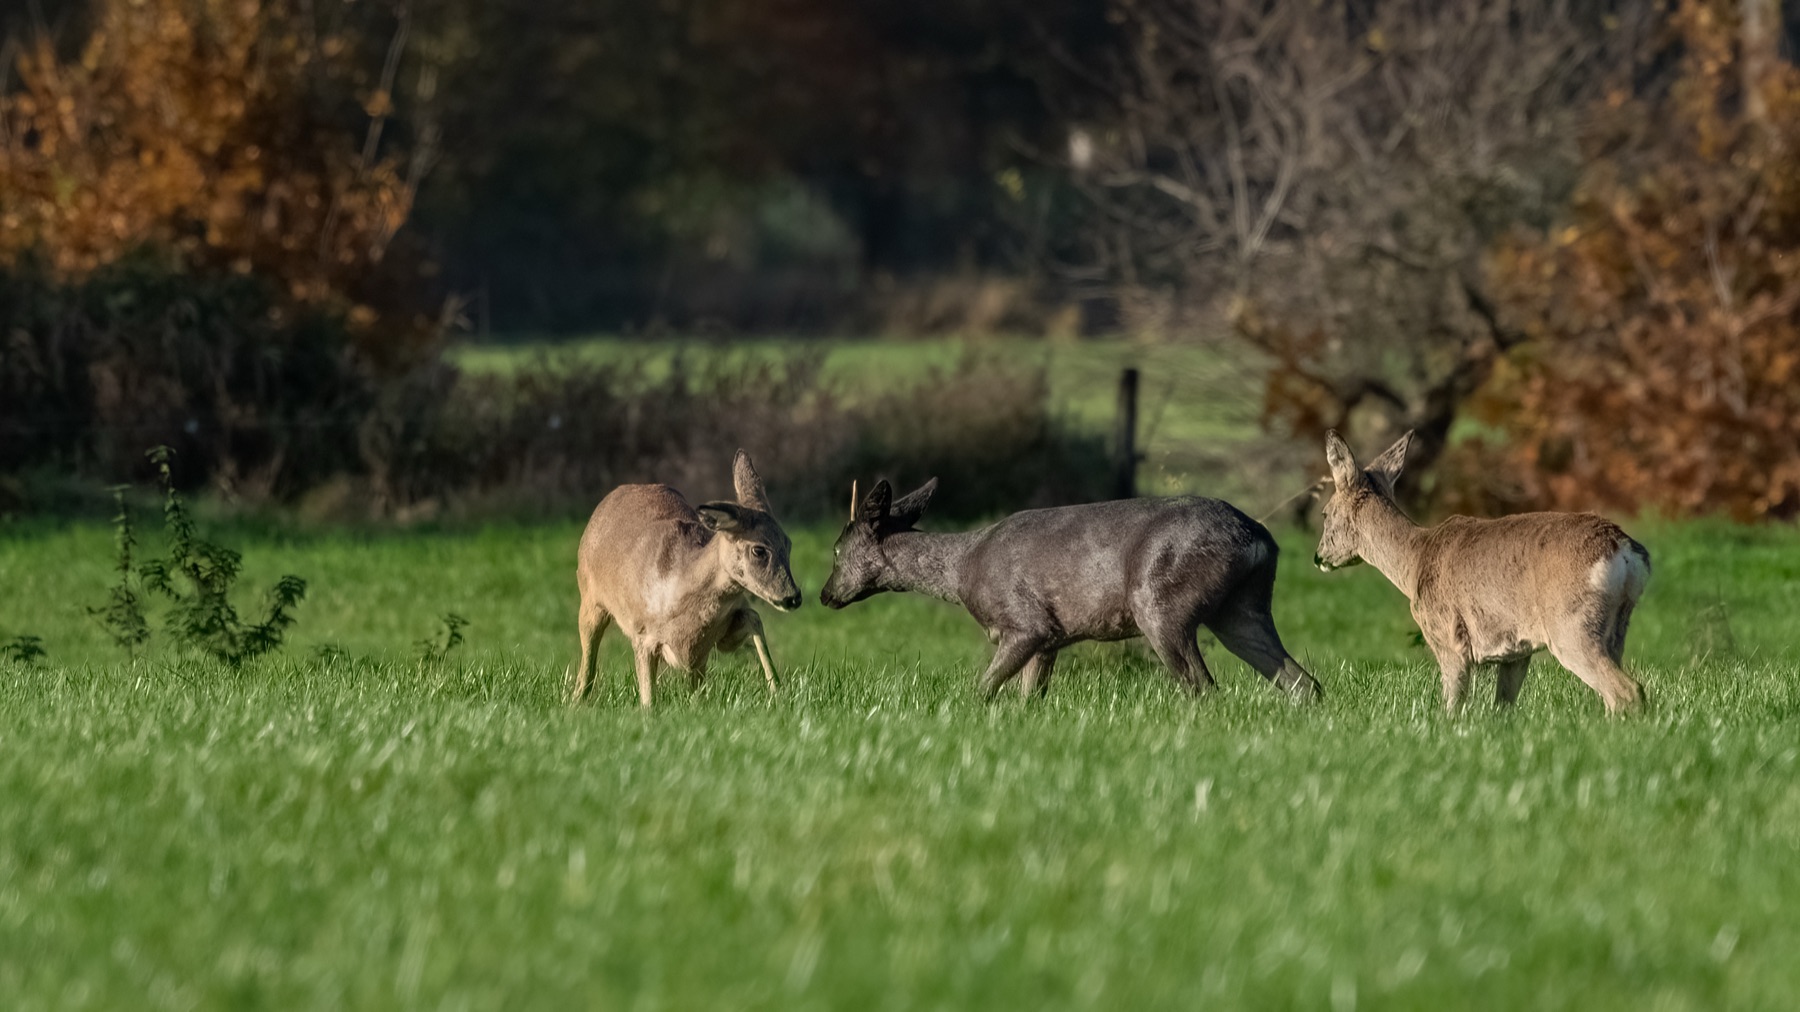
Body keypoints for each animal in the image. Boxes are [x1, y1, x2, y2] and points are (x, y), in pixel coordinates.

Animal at [572, 450, 802, 707]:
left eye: (788, 544)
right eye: (759, 550)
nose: (793, 597)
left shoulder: (717, 638)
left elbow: (755, 621)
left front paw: (778, 690)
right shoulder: (643, 634)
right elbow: (648, 700)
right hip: (590, 598)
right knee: (587, 665)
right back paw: (575, 702)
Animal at [819, 478, 1322, 701]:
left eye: (837, 550)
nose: (824, 595)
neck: (962, 569)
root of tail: (1259, 538)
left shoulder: (1026, 623)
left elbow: (982, 689)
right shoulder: (1050, 640)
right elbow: (1029, 698)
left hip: (1160, 600)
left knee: (1203, 686)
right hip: (1242, 608)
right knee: (1303, 681)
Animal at [1314, 430, 1650, 715]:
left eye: (1325, 514)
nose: (1318, 557)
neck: (1414, 560)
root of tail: (1624, 550)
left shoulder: (1448, 636)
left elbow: (1453, 705)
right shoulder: (1517, 650)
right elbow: (1503, 706)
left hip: (1570, 624)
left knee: (1625, 691)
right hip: (1616, 626)